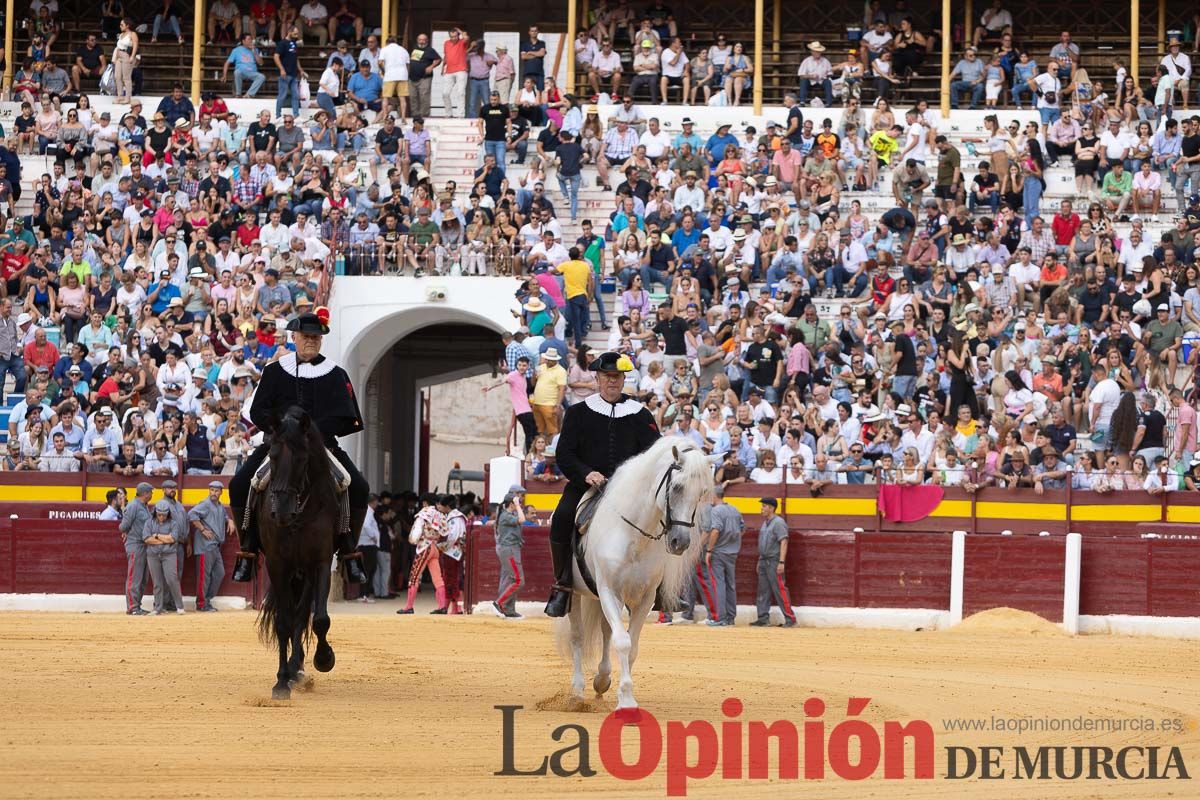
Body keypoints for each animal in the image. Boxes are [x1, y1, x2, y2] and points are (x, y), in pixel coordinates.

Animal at [258, 407, 340, 700]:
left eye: (303, 458)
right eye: (272, 455)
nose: (281, 512)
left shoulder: (321, 562)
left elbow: (320, 619)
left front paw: (324, 658)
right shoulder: (276, 564)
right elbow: (283, 621)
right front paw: (281, 681)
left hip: (305, 572)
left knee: (303, 613)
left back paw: (298, 666)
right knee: (294, 615)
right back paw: (292, 671)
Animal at [552, 438, 710, 714]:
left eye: (702, 492)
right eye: (677, 487)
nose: (680, 542)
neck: (635, 536)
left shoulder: (645, 598)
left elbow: (631, 646)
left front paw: (621, 693)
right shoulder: (608, 590)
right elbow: (622, 642)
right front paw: (626, 700)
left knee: (606, 631)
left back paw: (601, 679)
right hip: (577, 594)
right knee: (578, 637)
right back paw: (578, 692)